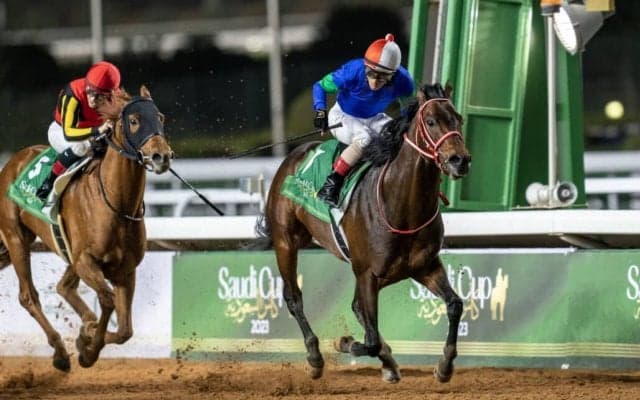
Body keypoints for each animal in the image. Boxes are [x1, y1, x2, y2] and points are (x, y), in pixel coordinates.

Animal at [0, 86, 173, 371]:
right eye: (134, 120)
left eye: (160, 117)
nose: (162, 156)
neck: (116, 203)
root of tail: (13, 161)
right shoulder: (86, 261)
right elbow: (107, 299)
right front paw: (89, 347)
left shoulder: (125, 270)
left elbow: (125, 331)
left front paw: (86, 337)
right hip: (16, 239)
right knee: (28, 296)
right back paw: (60, 352)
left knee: (63, 287)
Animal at [259, 83, 471, 383]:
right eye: (431, 121)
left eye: (458, 119)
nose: (459, 160)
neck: (402, 204)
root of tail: (292, 155)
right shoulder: (368, 273)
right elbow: (369, 339)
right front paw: (343, 342)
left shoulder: (425, 266)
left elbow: (454, 305)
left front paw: (444, 366)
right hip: (286, 241)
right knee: (294, 298)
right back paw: (315, 357)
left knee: (357, 309)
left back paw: (389, 363)